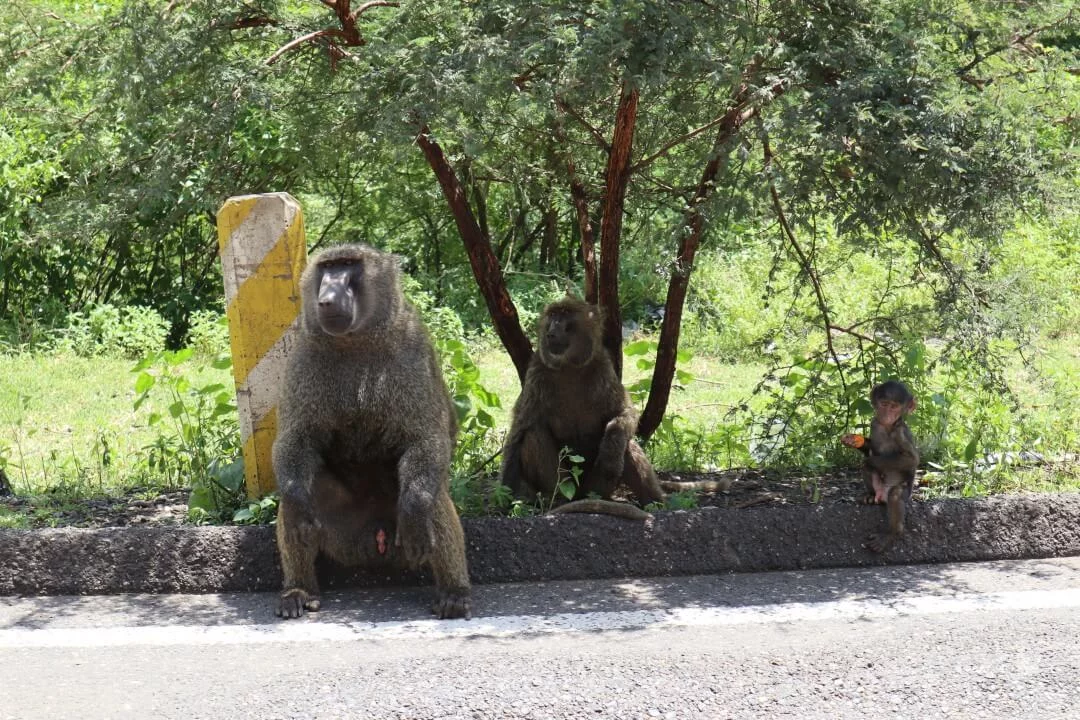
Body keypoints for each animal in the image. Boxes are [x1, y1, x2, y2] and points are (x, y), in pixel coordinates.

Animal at [272, 243, 471, 620]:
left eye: (349, 265)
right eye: (328, 268)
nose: (327, 299)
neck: (356, 341)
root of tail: (373, 539)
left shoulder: (413, 349)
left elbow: (428, 438)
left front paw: (416, 509)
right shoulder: (303, 356)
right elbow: (296, 440)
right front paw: (296, 502)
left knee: (432, 496)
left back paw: (454, 592)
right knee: (299, 502)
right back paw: (298, 590)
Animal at [500, 296, 666, 519]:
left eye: (564, 316)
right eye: (552, 315)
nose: (551, 332)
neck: (569, 366)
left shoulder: (603, 367)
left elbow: (623, 414)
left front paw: (611, 453)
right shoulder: (536, 374)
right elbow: (519, 432)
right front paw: (505, 497)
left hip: (596, 486)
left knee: (626, 443)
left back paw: (654, 504)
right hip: (565, 485)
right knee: (533, 435)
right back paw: (556, 500)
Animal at [841, 379, 919, 553]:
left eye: (894, 407)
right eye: (884, 404)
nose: (887, 415)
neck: (887, 427)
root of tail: (881, 496)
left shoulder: (900, 432)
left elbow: (912, 459)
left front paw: (870, 460)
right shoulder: (875, 422)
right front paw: (854, 440)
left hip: (900, 493)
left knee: (895, 495)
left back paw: (891, 534)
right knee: (868, 473)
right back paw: (870, 496)